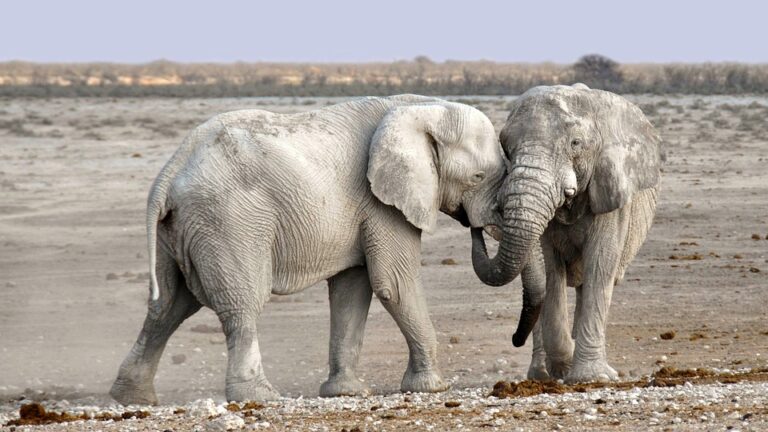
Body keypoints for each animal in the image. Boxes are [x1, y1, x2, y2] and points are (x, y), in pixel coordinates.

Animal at [110, 94, 507, 405]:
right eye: (478, 177)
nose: (476, 226)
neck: (421, 107)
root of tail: (170, 170)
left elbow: (352, 290)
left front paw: (346, 393)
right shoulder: (382, 203)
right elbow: (393, 284)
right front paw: (432, 387)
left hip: (179, 229)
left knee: (168, 306)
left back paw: (132, 398)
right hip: (228, 222)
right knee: (241, 304)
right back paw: (260, 397)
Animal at [471, 84, 661, 383]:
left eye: (575, 144)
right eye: (506, 148)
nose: (476, 226)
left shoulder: (611, 192)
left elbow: (601, 265)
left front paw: (591, 378)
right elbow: (550, 270)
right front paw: (564, 367)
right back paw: (541, 374)